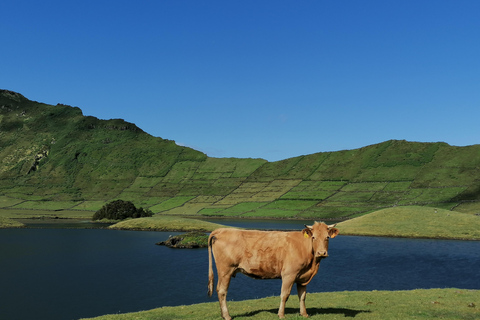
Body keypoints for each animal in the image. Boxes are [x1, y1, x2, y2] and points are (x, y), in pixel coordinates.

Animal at [206, 221, 338, 318]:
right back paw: (226, 316)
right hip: (225, 270)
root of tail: (221, 230)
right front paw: (281, 315)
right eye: (314, 237)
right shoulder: (289, 274)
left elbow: (302, 296)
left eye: (327, 237)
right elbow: (285, 295)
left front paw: (304, 314)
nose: (322, 253)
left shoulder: (302, 277)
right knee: (222, 291)